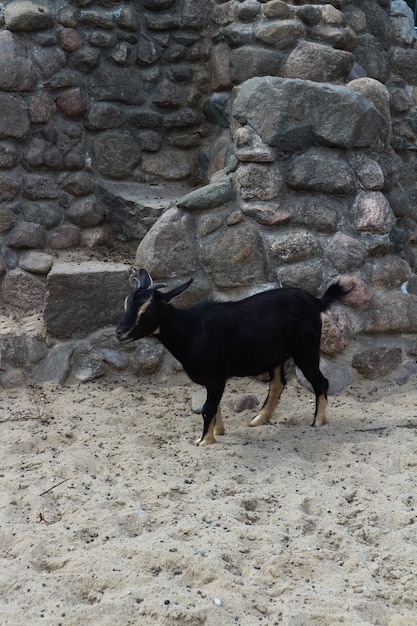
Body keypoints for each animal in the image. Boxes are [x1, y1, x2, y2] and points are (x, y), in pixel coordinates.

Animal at [115, 268, 350, 444]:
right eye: (126, 304)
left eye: (147, 309)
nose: (120, 332)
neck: (191, 331)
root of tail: (316, 301)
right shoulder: (211, 380)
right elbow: (214, 405)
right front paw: (217, 432)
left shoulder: (216, 376)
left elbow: (208, 408)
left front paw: (204, 441)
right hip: (275, 356)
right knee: (277, 385)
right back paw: (258, 419)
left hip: (306, 350)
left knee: (320, 381)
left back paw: (318, 422)